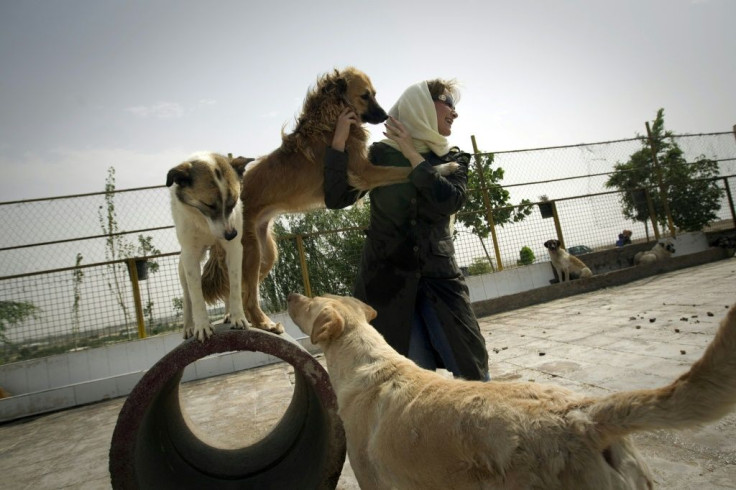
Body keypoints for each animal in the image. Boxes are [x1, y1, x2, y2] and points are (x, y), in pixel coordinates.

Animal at [167, 152, 253, 340]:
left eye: (233, 202)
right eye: (209, 205)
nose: (231, 234)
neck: (205, 223)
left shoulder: (234, 249)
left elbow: (235, 287)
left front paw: (238, 317)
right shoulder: (190, 255)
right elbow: (196, 295)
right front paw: (202, 326)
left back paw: (228, 313)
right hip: (182, 266)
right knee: (187, 296)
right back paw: (189, 326)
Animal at [200, 67, 454, 332]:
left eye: (374, 94)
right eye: (365, 96)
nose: (386, 115)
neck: (332, 120)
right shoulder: (365, 172)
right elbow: (403, 171)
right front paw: (444, 167)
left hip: (265, 254)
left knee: (241, 289)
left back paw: (236, 317)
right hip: (251, 253)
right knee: (249, 296)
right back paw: (263, 323)